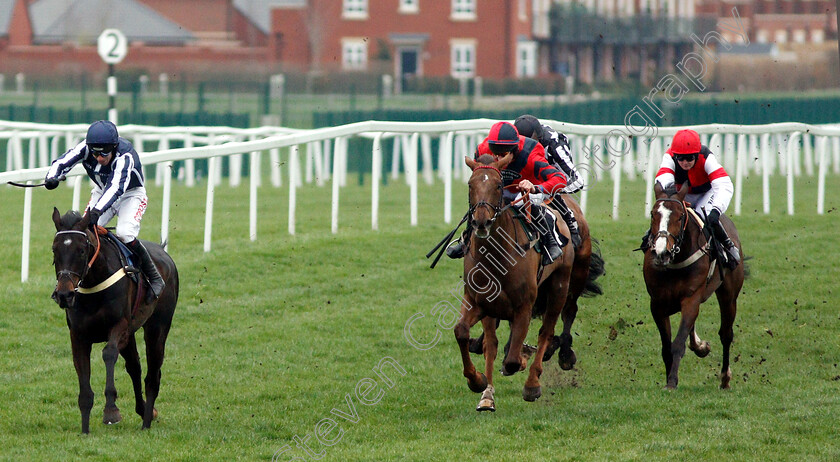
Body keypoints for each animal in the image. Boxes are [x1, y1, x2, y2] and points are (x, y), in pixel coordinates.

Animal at [50, 209, 179, 434]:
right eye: (54, 249)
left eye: (81, 250)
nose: (64, 294)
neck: (94, 283)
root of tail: (164, 254)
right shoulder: (78, 335)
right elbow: (83, 377)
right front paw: (85, 429)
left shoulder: (120, 326)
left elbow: (109, 353)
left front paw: (111, 411)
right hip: (131, 334)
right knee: (134, 366)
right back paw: (144, 410)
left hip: (157, 326)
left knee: (152, 375)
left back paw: (146, 421)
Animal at [452, 155, 576, 412]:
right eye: (470, 184)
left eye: (499, 185)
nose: (481, 222)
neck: (496, 257)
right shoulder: (479, 302)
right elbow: (463, 333)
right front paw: (478, 382)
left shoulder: (524, 307)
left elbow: (511, 359)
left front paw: (522, 360)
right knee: (492, 343)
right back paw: (487, 394)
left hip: (560, 286)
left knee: (546, 331)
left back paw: (532, 383)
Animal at [644, 184, 748, 390]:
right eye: (653, 214)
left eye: (679, 217)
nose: (661, 253)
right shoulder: (657, 304)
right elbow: (666, 347)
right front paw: (669, 378)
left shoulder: (691, 299)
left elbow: (678, 343)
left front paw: (672, 382)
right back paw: (699, 346)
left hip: (729, 295)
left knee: (726, 334)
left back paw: (725, 378)